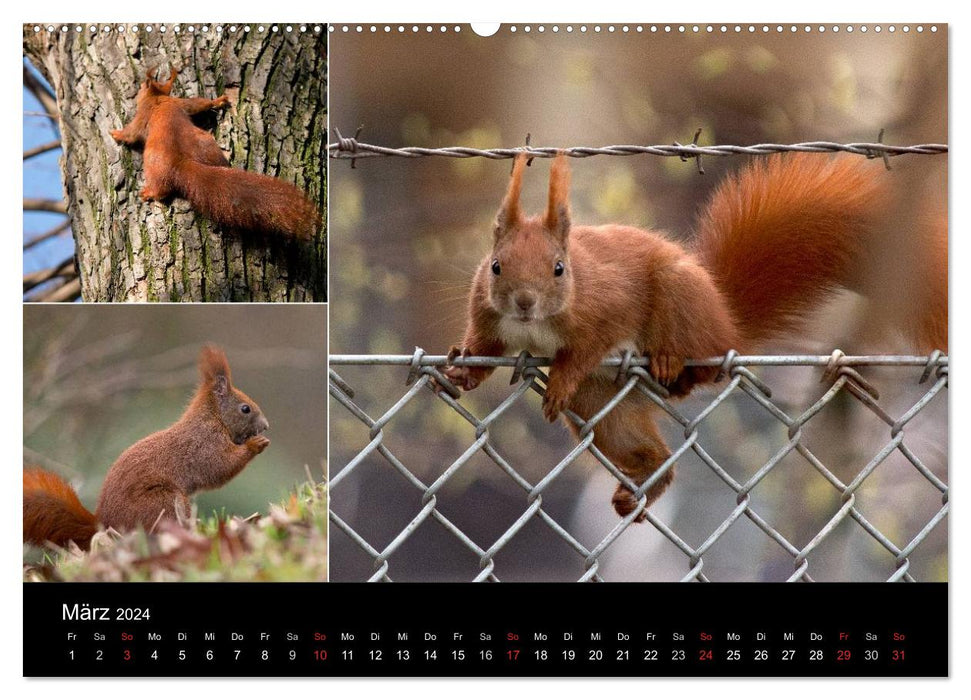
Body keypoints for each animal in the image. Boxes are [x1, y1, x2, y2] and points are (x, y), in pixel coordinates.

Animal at [23, 344, 274, 548]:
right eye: (245, 408)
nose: (266, 426)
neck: (214, 419)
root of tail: (103, 525)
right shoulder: (204, 444)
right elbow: (219, 467)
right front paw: (256, 444)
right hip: (163, 502)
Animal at [110, 66, 320, 241]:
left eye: (142, 87)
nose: (137, 90)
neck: (158, 99)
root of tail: (181, 163)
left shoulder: (143, 115)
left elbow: (131, 133)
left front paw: (116, 133)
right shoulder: (180, 103)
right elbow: (197, 105)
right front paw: (218, 102)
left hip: (152, 165)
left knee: (161, 189)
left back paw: (148, 193)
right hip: (207, 145)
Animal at [442, 152, 948, 520]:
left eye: (559, 269)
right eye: (495, 266)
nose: (525, 302)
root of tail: (725, 320)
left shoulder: (604, 309)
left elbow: (587, 348)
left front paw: (561, 378)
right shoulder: (486, 316)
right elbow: (485, 349)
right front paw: (461, 371)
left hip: (678, 299)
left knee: (700, 370)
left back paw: (670, 364)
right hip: (601, 403)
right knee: (645, 447)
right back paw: (647, 479)